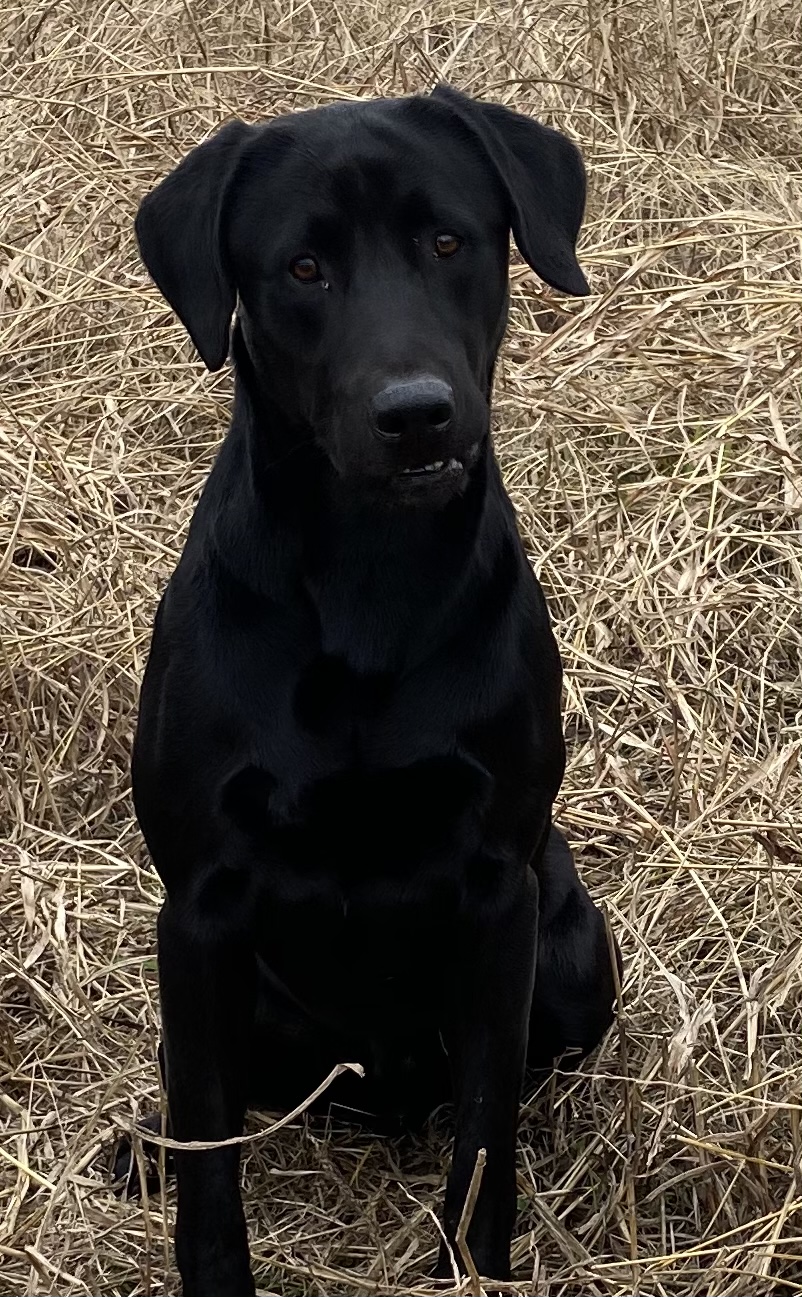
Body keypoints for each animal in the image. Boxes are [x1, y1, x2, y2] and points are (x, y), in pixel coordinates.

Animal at [131, 86, 617, 1291]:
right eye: (303, 268)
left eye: (447, 242)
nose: (416, 413)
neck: (367, 580)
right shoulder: (199, 907)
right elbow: (210, 1150)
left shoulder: (497, 891)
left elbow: (487, 1129)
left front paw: (475, 1265)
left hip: (575, 951)